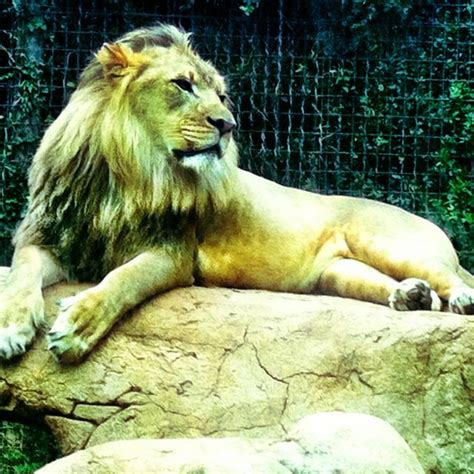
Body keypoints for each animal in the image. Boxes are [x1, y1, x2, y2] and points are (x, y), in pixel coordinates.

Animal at [0, 25, 472, 362]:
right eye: (183, 84)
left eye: (222, 95)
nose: (227, 125)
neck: (126, 174)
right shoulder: (50, 235)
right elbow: (21, 272)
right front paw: (10, 327)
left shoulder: (173, 251)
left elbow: (124, 279)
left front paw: (78, 327)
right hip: (339, 273)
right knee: (398, 289)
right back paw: (411, 296)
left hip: (389, 243)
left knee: (452, 280)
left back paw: (458, 297)